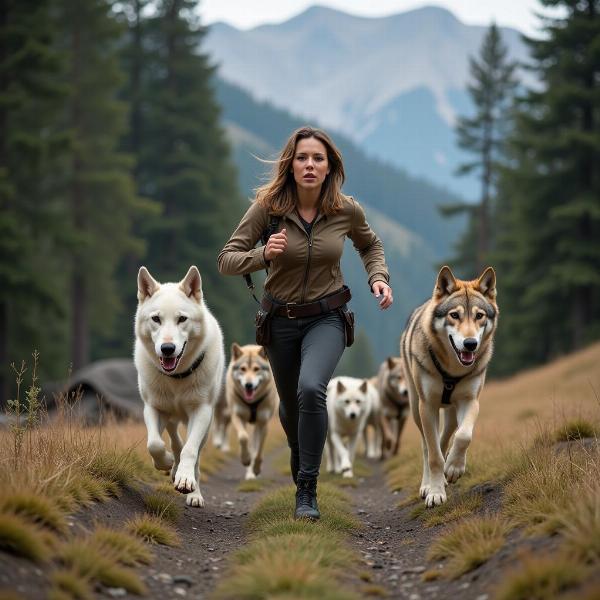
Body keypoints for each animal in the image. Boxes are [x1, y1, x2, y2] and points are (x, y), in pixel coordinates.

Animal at [134, 268, 225, 506]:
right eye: (156, 319)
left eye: (182, 319)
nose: (167, 348)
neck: (176, 377)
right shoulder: (153, 408)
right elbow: (154, 444)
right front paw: (165, 462)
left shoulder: (201, 411)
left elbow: (190, 451)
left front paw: (186, 481)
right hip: (170, 415)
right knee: (175, 439)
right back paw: (172, 466)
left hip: (206, 425)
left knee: (193, 453)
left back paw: (193, 491)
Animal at [225, 344, 278, 480]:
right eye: (243, 369)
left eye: (256, 369)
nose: (248, 385)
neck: (252, 402)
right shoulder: (237, 416)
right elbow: (243, 438)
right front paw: (246, 460)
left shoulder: (263, 422)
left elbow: (258, 451)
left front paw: (256, 469)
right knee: (248, 442)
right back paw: (249, 471)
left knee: (255, 447)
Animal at [404, 268, 496, 506]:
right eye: (454, 315)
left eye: (479, 316)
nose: (470, 344)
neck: (451, 370)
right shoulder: (427, 406)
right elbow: (434, 456)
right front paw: (435, 493)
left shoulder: (470, 401)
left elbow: (463, 436)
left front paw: (454, 468)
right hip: (416, 408)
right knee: (427, 447)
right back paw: (427, 484)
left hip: (452, 413)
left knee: (444, 438)